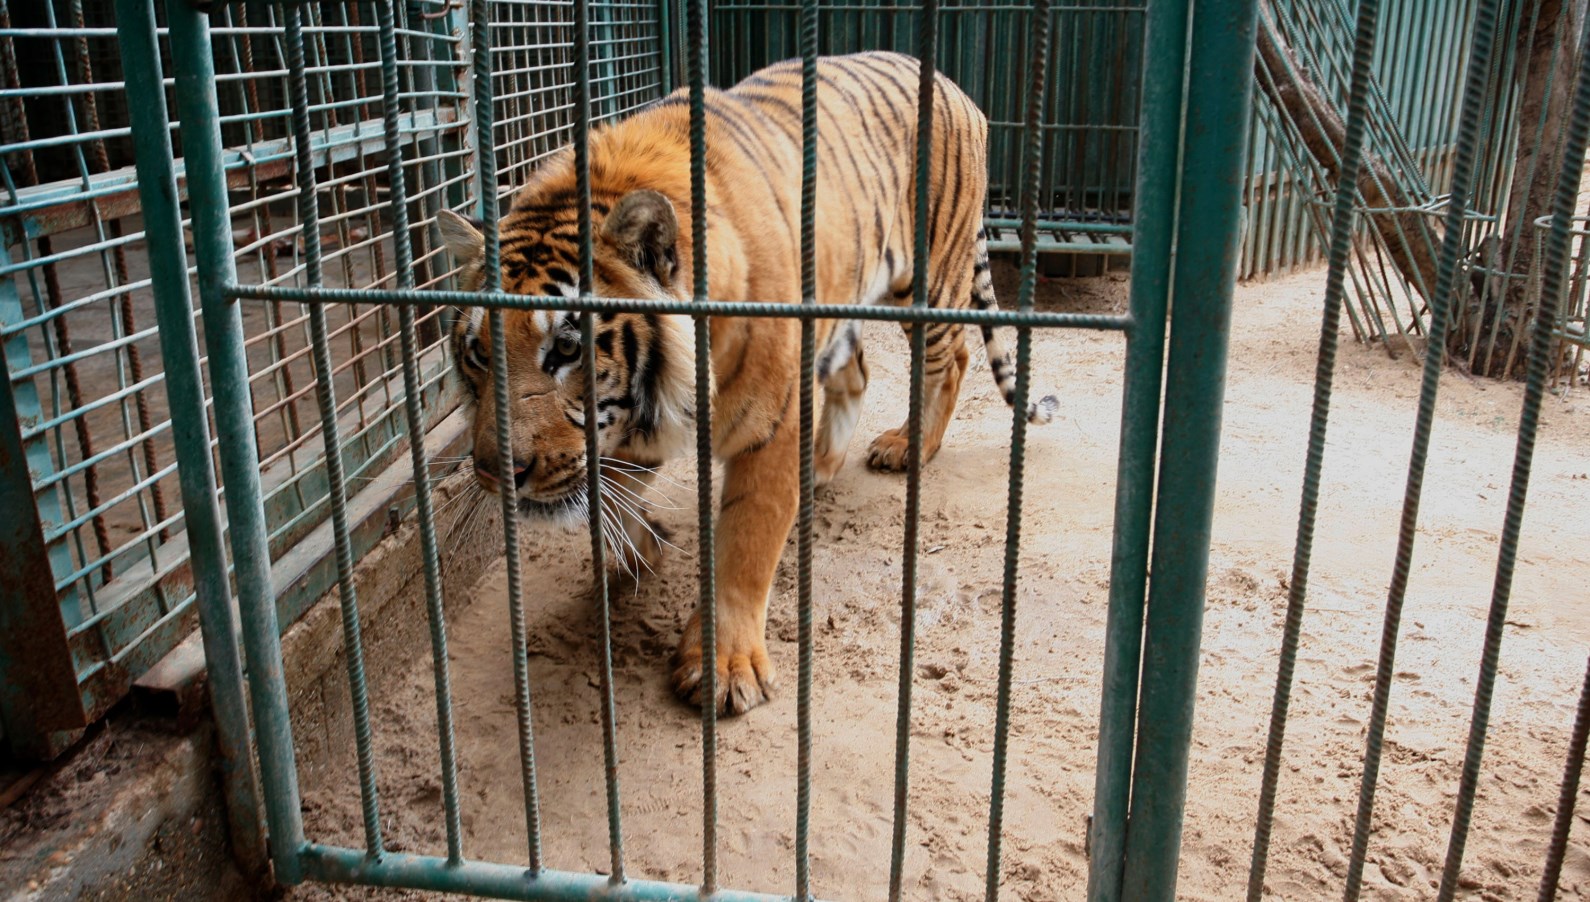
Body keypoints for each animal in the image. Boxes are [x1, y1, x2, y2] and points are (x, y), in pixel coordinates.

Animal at [437, 50, 1057, 715]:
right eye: (478, 355)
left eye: (566, 350)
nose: (497, 474)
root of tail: (947, 81)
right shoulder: (619, 430)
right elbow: (608, 501)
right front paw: (643, 550)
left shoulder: (770, 427)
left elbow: (745, 544)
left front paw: (725, 668)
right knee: (859, 371)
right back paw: (822, 465)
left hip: (928, 282)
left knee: (955, 358)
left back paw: (908, 446)